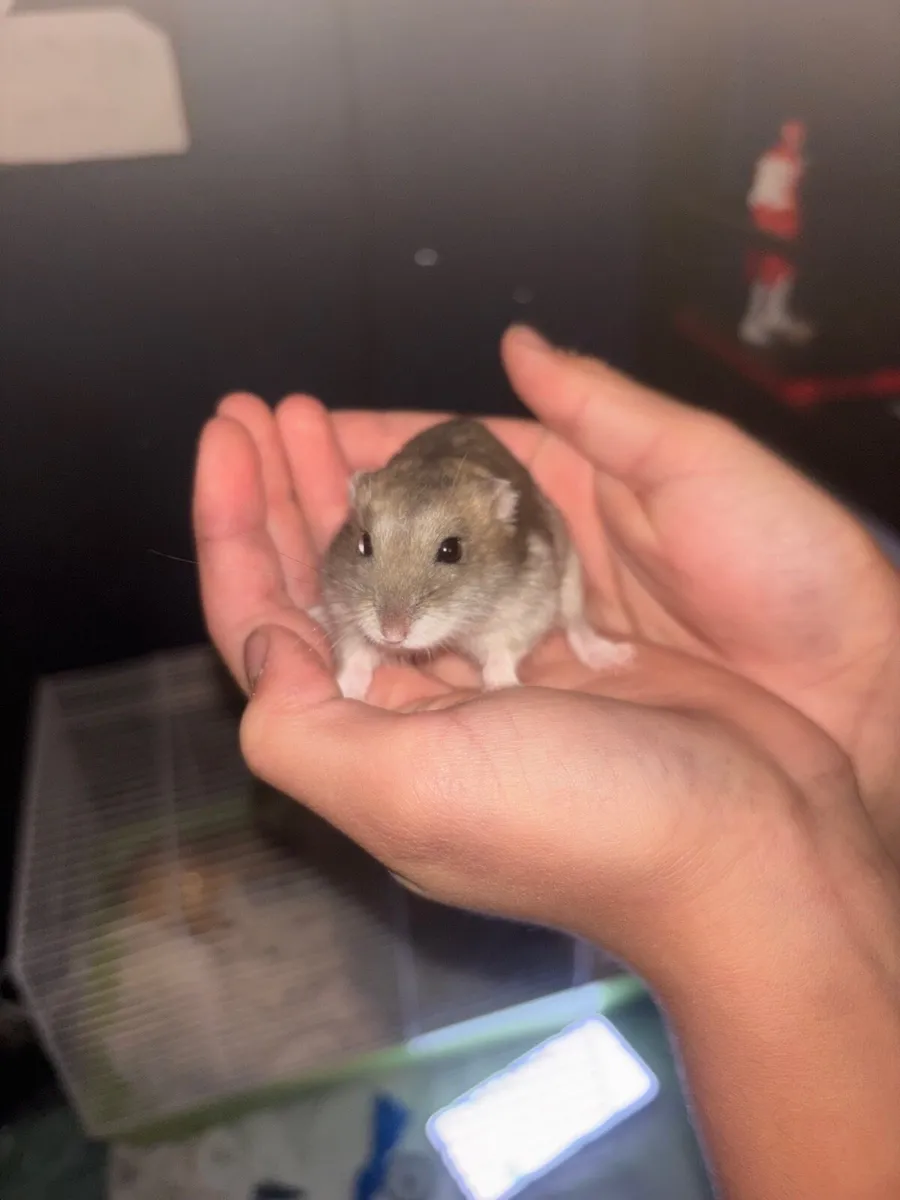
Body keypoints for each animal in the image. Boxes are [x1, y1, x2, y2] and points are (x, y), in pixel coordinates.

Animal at [314, 417, 633, 700]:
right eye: (364, 543)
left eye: (451, 550)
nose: (392, 635)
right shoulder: (342, 605)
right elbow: (356, 654)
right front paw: (345, 690)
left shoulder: (527, 608)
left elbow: (502, 652)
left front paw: (503, 686)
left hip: (571, 580)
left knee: (577, 626)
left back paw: (615, 657)